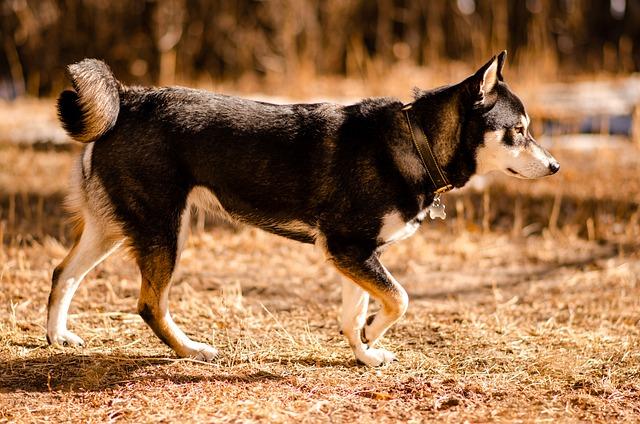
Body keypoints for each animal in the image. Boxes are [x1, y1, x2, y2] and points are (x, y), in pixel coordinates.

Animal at [47, 51, 556, 366]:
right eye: (518, 130)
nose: (554, 166)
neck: (418, 142)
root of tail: (127, 99)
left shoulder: (356, 255)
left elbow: (354, 312)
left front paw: (365, 352)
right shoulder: (350, 248)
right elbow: (399, 298)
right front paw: (375, 334)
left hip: (112, 229)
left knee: (63, 274)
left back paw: (56, 338)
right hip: (164, 230)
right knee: (150, 304)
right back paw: (192, 351)